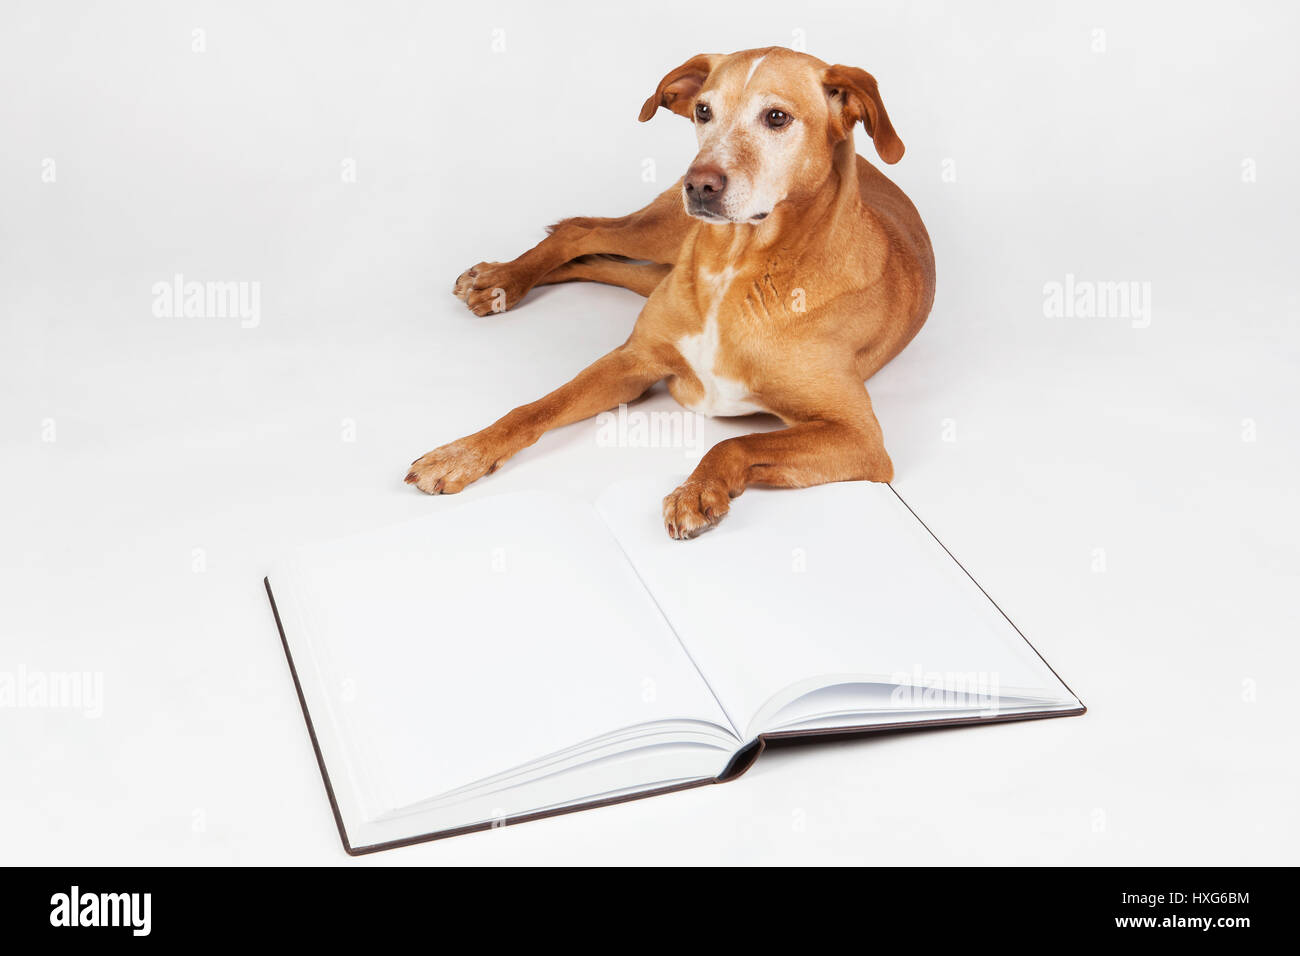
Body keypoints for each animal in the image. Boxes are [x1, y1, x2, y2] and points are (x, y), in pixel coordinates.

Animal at [405, 48, 935, 538]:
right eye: (703, 111)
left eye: (777, 117)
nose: (698, 184)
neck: (734, 267)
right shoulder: (632, 360)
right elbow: (534, 409)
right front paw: (462, 454)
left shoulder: (859, 437)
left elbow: (736, 442)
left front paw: (697, 489)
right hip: (663, 231)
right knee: (580, 231)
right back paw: (503, 280)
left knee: (597, 257)